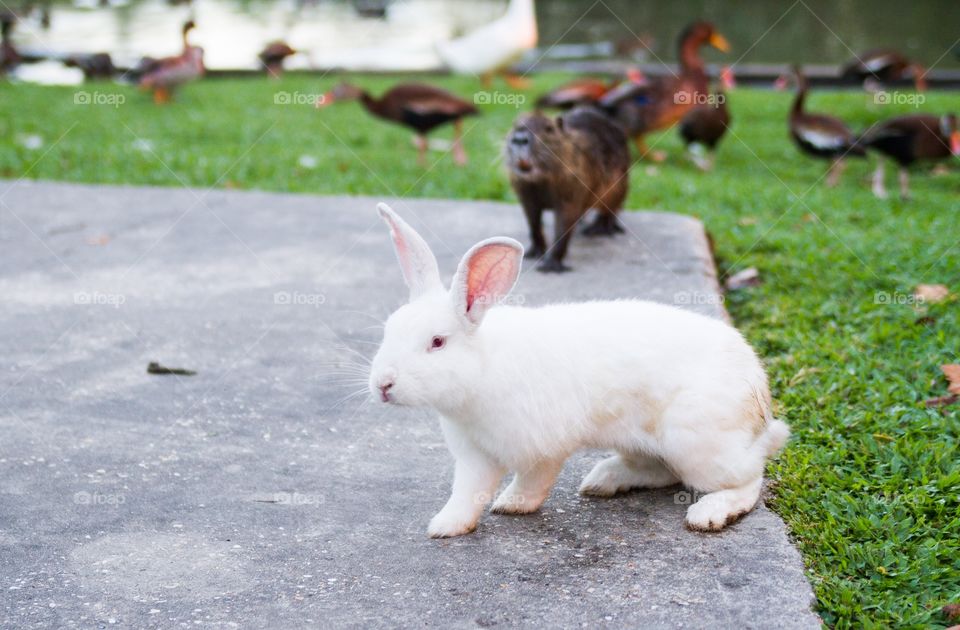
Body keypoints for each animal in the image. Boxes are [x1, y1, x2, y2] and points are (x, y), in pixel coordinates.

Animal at [368, 202, 788, 540]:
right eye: (388, 329)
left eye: (437, 342)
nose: (383, 385)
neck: (482, 369)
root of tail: (760, 400)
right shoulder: (475, 455)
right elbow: (467, 492)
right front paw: (446, 526)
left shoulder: (542, 449)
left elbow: (532, 481)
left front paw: (511, 504)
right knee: (662, 471)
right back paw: (603, 481)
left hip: (696, 443)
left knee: (748, 480)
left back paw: (708, 513)